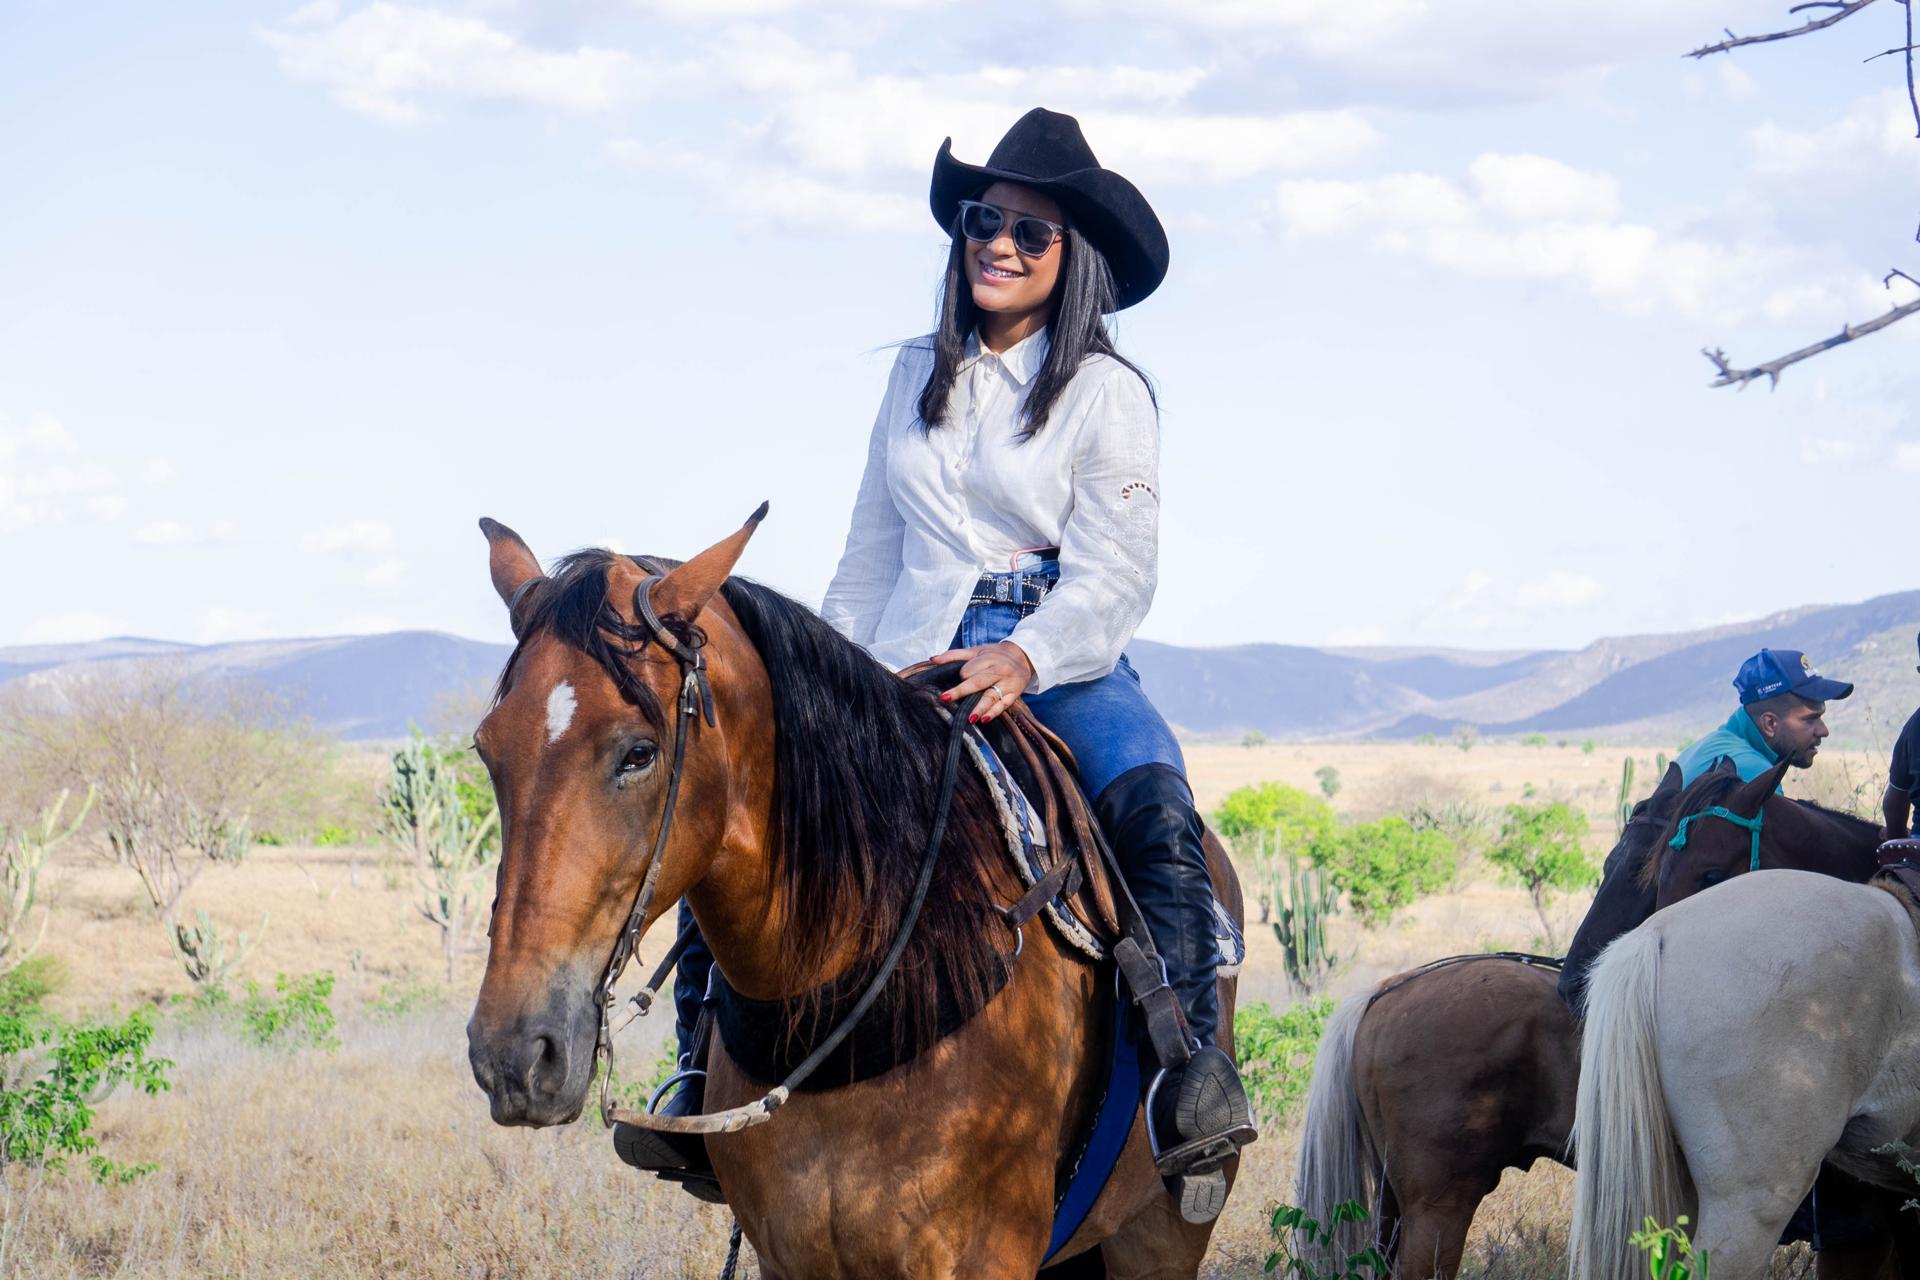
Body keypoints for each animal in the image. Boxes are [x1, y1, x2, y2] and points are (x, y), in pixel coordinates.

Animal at [462, 510, 1246, 1279]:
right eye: (487, 751)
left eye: (638, 752)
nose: (515, 1054)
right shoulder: (787, 1259)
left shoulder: (988, 1256)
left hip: (1160, 1236)